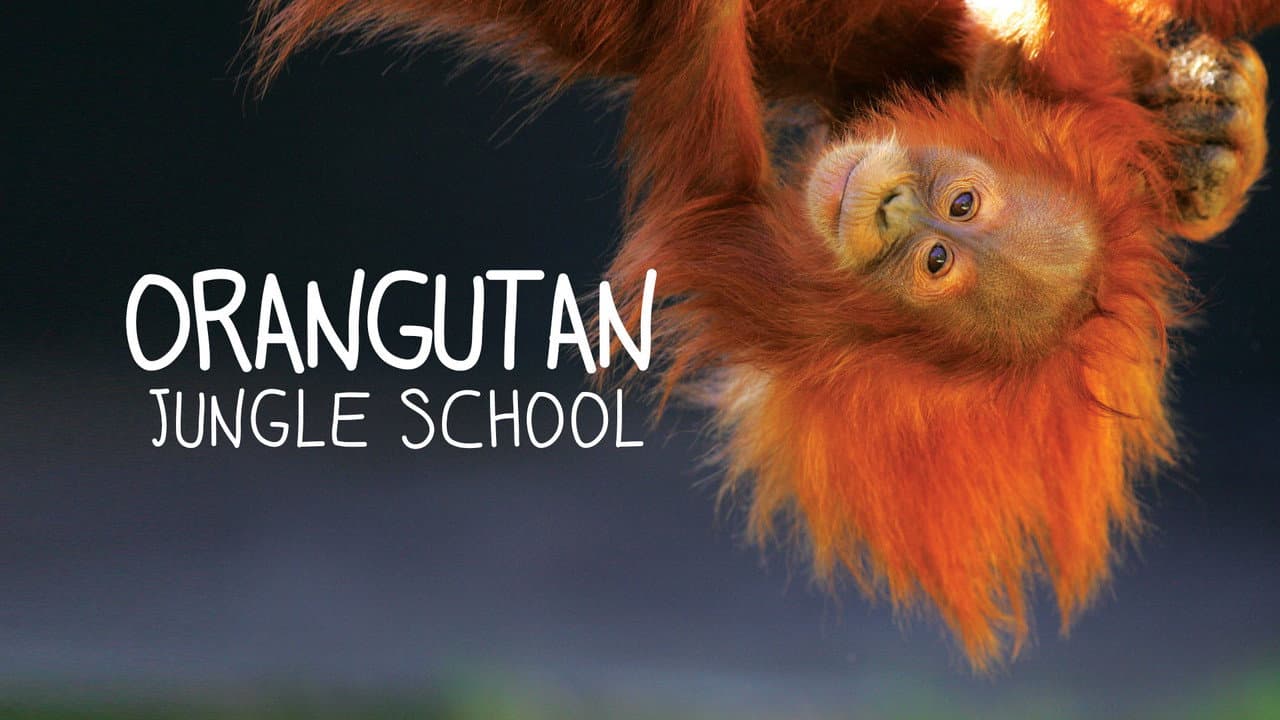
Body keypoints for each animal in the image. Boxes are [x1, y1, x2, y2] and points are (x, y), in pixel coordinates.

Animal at [248, 0, 1277, 670]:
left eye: (937, 263)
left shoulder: (783, 296)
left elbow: (709, 175)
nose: (894, 210)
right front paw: (1194, 122)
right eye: (961, 206)